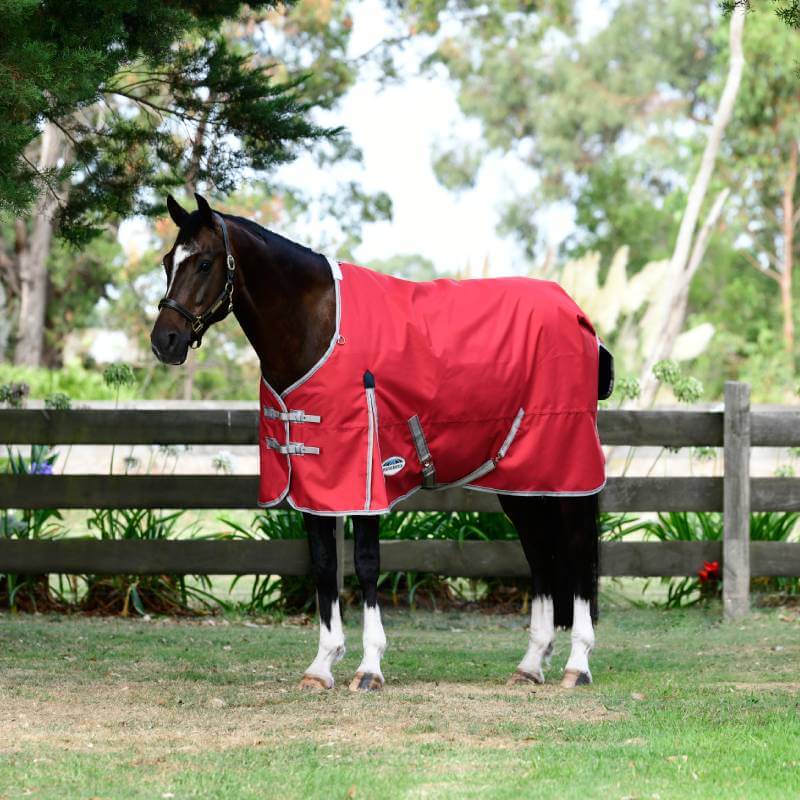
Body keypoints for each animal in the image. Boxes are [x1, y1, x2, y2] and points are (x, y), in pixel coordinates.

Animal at [150, 193, 612, 692]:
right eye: (167, 261)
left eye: (204, 262)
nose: (165, 341)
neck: (317, 328)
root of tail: (578, 315)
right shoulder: (315, 482)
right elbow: (323, 565)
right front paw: (321, 665)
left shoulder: (366, 477)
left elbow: (367, 564)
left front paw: (369, 666)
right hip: (521, 480)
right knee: (541, 555)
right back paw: (530, 664)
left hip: (567, 471)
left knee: (579, 549)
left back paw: (577, 664)